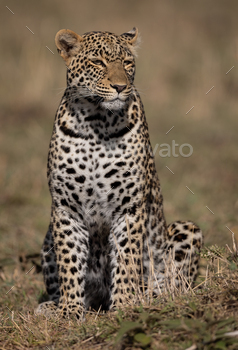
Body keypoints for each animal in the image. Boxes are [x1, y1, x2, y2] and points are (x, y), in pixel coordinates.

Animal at [35, 28, 203, 320]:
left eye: (127, 63)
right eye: (97, 62)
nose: (120, 87)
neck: (95, 123)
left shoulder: (129, 207)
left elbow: (127, 259)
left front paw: (125, 304)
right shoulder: (65, 208)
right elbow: (69, 261)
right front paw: (69, 310)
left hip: (186, 230)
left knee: (173, 284)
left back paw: (151, 298)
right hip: (47, 238)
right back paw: (51, 306)